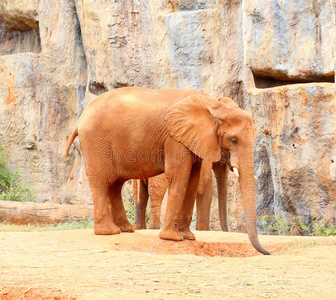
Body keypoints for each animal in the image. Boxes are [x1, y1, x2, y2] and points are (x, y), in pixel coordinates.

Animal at [64, 87, 272, 255]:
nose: (267, 252)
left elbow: (192, 180)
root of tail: (80, 118)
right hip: (96, 142)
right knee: (101, 182)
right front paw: (173, 238)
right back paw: (109, 232)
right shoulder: (175, 139)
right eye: (234, 140)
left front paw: (188, 237)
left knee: (115, 185)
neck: (214, 106)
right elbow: (180, 178)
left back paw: (126, 230)